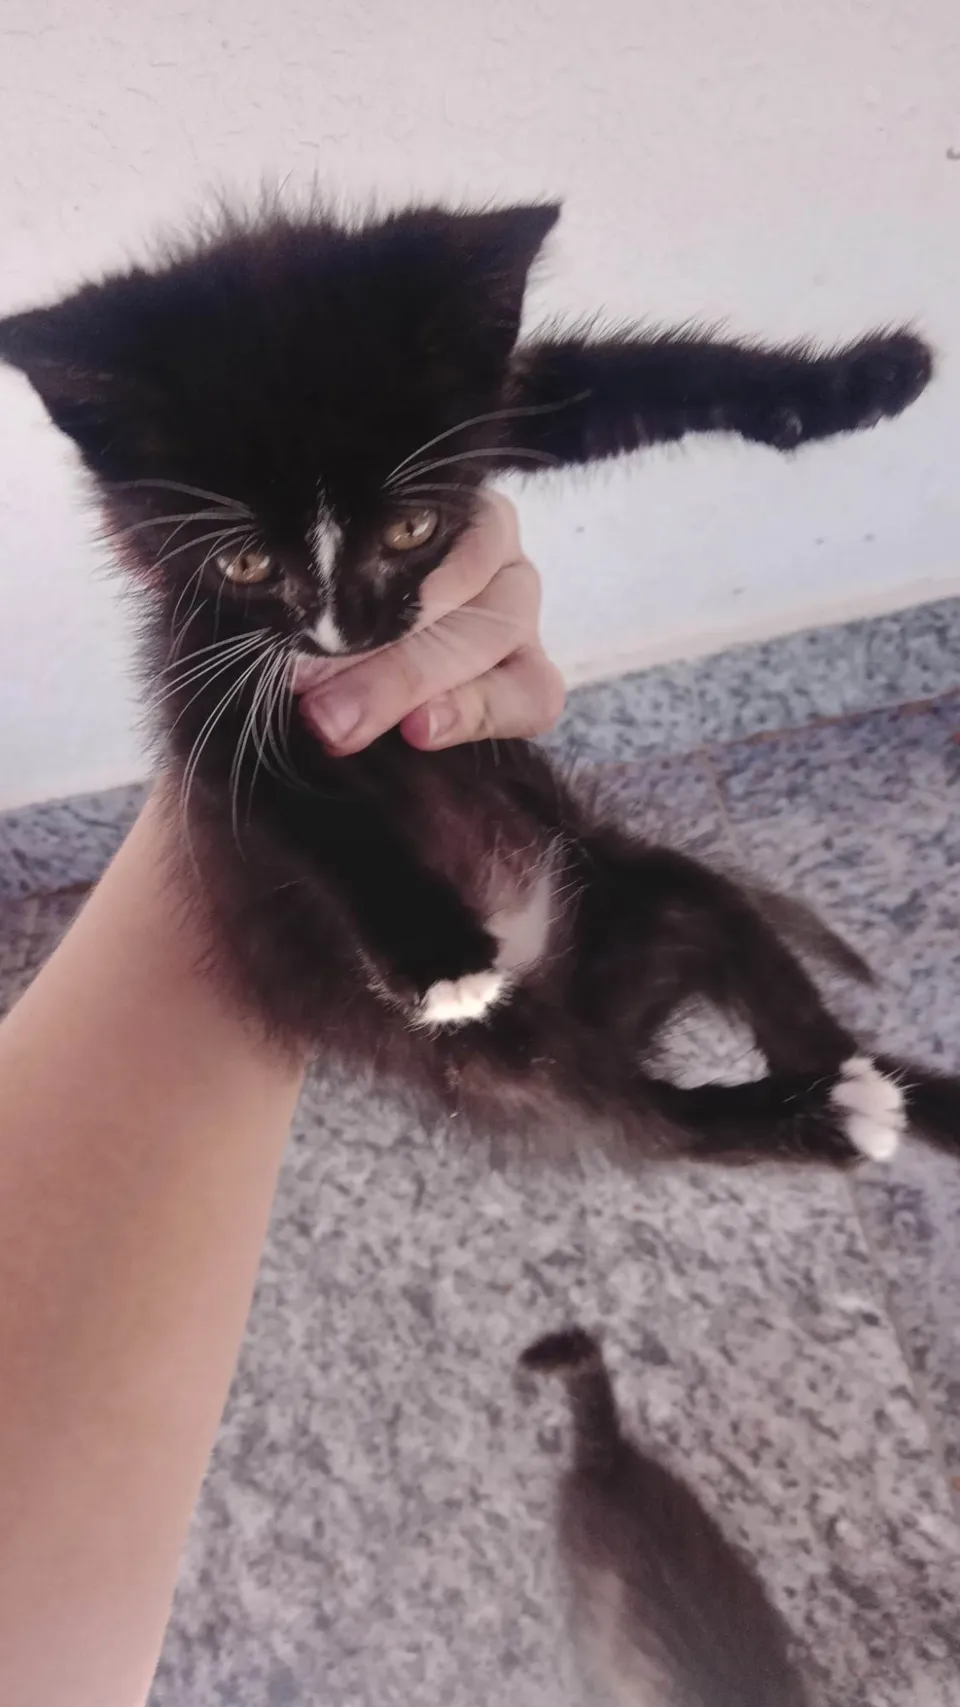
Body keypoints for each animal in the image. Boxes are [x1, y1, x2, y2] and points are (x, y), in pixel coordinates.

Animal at [1, 195, 957, 1173]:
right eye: (246, 561)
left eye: (410, 528)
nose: (347, 634)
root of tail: (591, 1001)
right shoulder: (204, 682)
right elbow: (302, 803)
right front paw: (437, 956)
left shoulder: (491, 406)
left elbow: (630, 382)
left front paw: (862, 380)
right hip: (506, 1063)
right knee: (660, 1126)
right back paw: (826, 1115)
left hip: (646, 889)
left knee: (756, 966)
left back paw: (871, 1092)